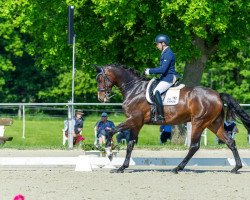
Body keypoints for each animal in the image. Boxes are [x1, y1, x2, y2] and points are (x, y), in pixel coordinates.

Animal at [94, 64, 249, 173]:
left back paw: (177, 168)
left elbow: (110, 131)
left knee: (194, 146)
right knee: (230, 142)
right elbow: (130, 144)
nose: (101, 98)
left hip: (199, 122)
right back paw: (236, 167)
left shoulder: (133, 120)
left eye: (101, 79)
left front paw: (109, 153)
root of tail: (217, 95)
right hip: (213, 124)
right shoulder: (136, 124)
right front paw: (122, 167)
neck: (135, 89)